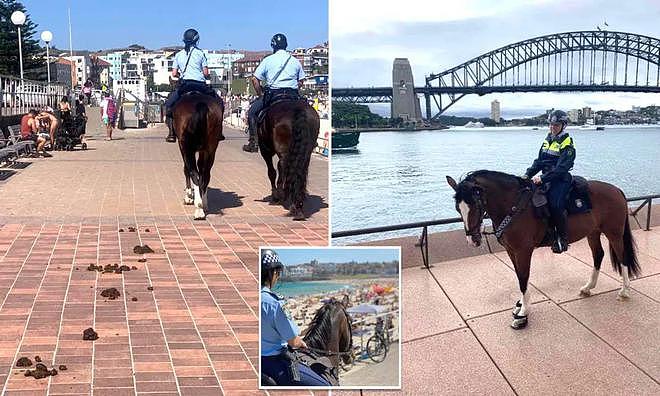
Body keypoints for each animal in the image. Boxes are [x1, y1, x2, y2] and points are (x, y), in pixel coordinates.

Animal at [173, 93, 224, 221]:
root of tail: (200, 104)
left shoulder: (183, 147)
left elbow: (186, 169)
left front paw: (188, 196)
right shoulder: (203, 151)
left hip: (187, 148)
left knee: (194, 173)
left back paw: (198, 208)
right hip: (211, 148)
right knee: (205, 174)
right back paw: (203, 204)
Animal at [446, 172, 640, 330]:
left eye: (475, 204)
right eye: (458, 208)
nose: (473, 240)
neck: (514, 206)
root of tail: (616, 190)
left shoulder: (523, 251)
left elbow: (523, 278)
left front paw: (523, 312)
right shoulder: (511, 251)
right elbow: (519, 276)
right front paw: (520, 304)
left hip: (614, 233)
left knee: (622, 257)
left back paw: (624, 291)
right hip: (593, 232)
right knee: (598, 255)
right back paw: (588, 287)